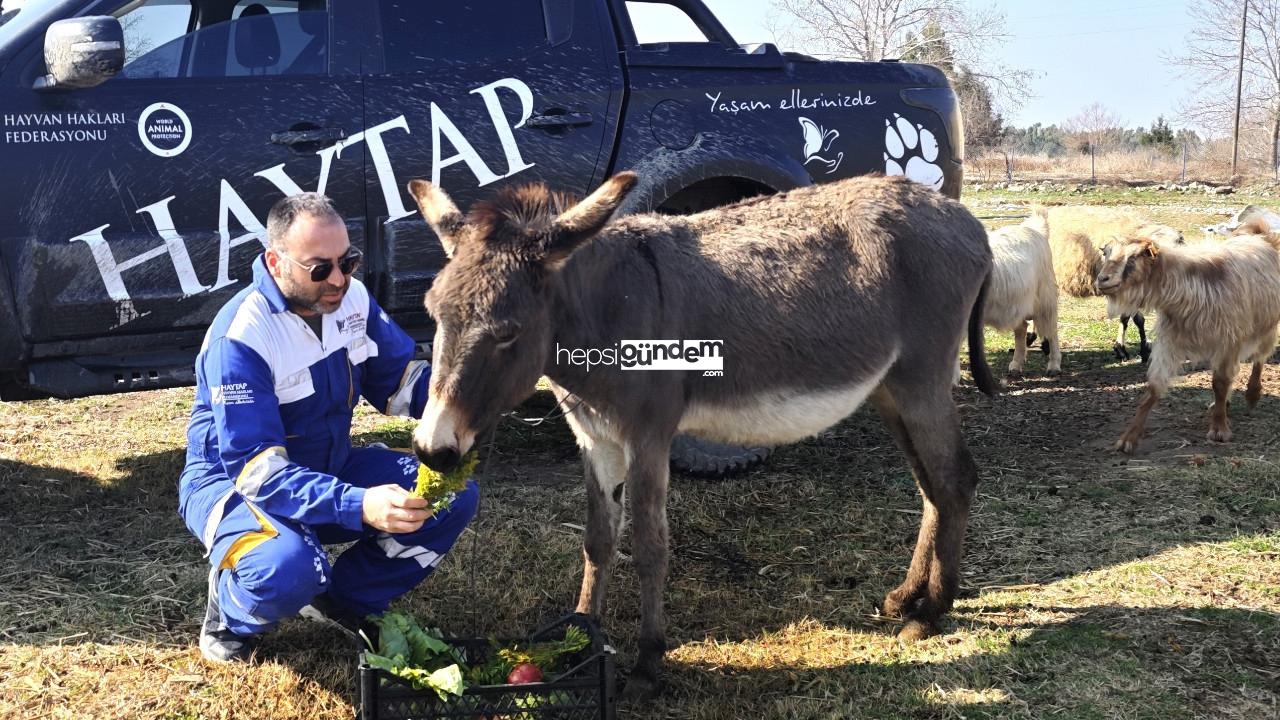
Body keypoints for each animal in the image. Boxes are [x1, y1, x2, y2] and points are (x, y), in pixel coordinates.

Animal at [983, 204, 1064, 376]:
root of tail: (1036, 229)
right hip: (1018, 303)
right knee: (1022, 328)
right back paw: (1016, 364)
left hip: (1045, 296)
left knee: (1051, 329)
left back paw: (1054, 365)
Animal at [1095, 221, 1280, 450]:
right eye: (1106, 253)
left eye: (1133, 257)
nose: (1102, 279)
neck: (1189, 288)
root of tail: (1259, 234)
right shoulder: (1171, 342)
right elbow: (1154, 387)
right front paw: (1129, 437)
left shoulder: (1228, 340)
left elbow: (1220, 383)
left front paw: (1219, 429)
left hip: (1266, 327)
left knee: (1259, 359)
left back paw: (1252, 394)